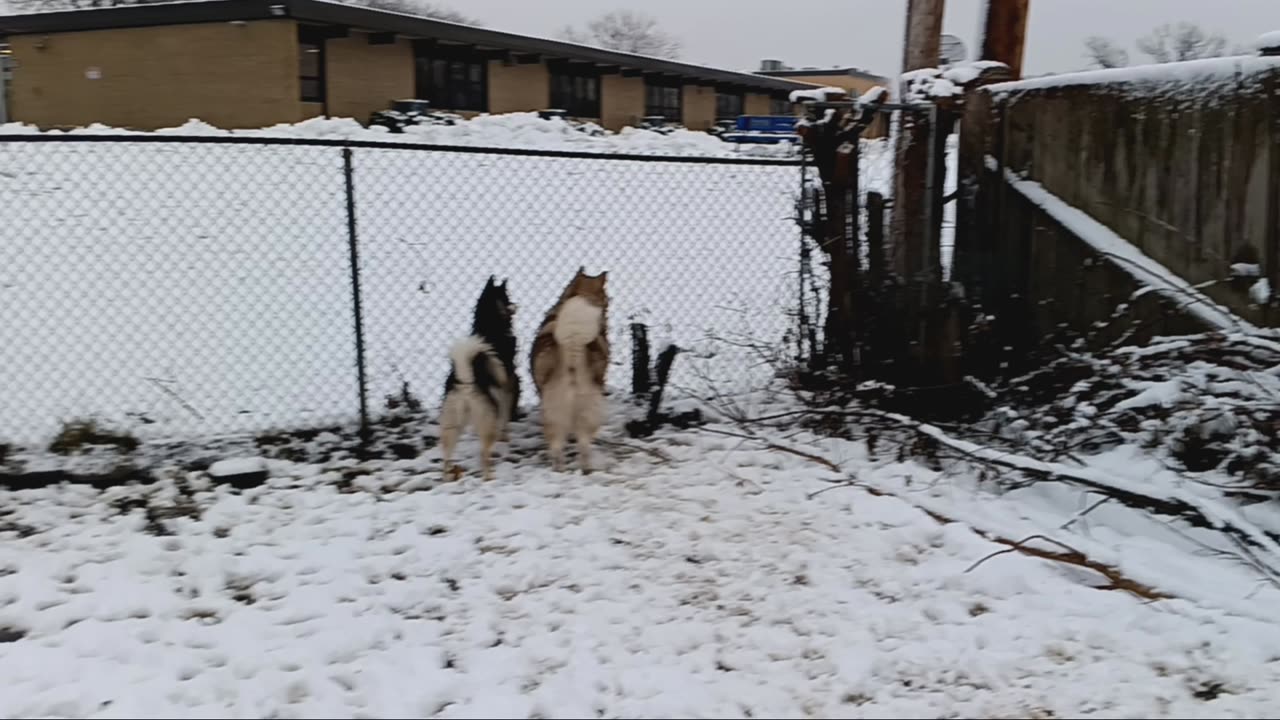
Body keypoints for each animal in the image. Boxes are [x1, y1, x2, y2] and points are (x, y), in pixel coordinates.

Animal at [440, 274, 519, 476]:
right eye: (507, 296)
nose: (516, 305)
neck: (489, 322)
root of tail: (466, 380)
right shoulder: (508, 386)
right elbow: (505, 416)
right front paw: (506, 437)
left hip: (452, 423)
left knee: (446, 457)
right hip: (486, 421)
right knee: (484, 454)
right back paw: (489, 477)